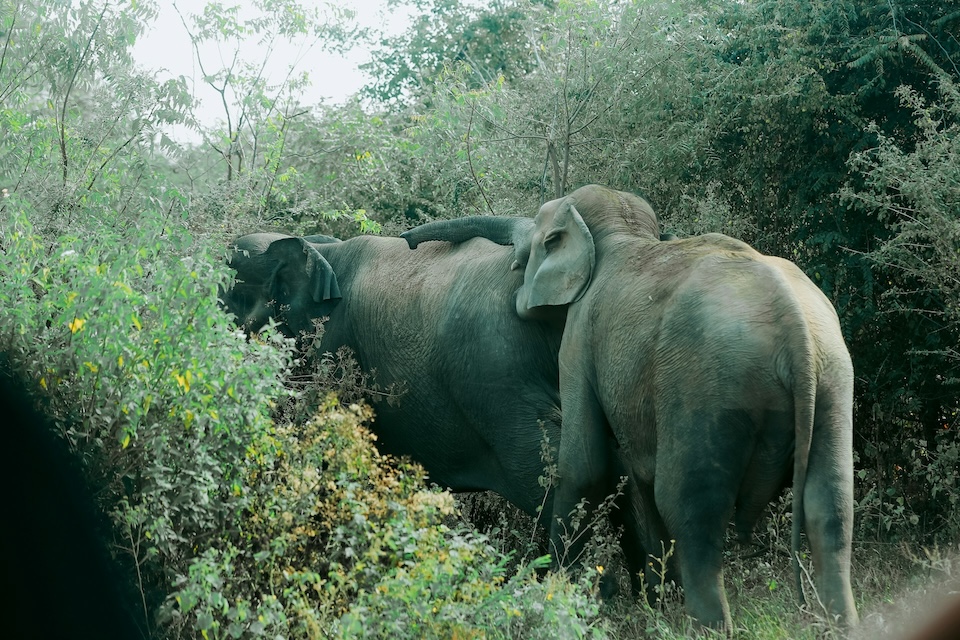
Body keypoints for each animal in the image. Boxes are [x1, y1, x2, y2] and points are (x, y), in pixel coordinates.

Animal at [402, 184, 860, 632]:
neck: (623, 234)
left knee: (690, 509)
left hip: (706, 385)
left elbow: (583, 466)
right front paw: (656, 599)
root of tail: (793, 325)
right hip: (833, 378)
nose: (407, 241)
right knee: (831, 506)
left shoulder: (579, 336)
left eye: (537, 241)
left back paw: (703, 627)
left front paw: (563, 592)